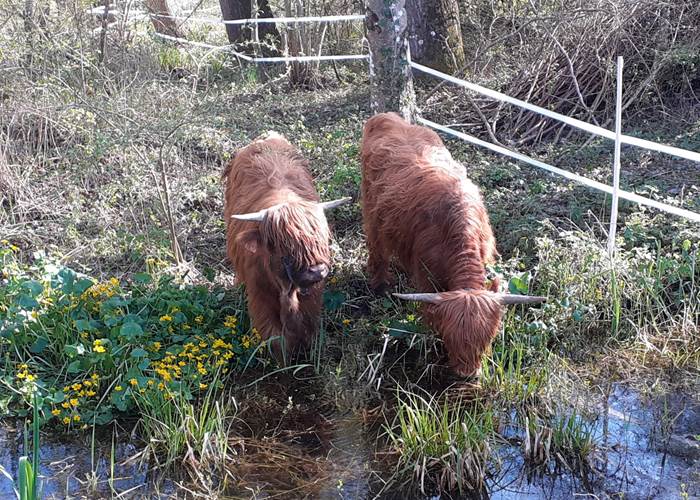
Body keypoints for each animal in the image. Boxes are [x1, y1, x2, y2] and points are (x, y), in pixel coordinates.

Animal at [222, 131, 349, 359]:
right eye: (283, 247)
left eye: (320, 239)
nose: (316, 272)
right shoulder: (260, 297)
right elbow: (275, 339)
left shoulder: (312, 297)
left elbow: (307, 328)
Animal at [360, 112, 545, 377]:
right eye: (450, 337)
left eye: (488, 338)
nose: (467, 374)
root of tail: (386, 117)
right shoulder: (426, 275)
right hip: (372, 212)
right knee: (377, 249)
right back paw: (380, 286)